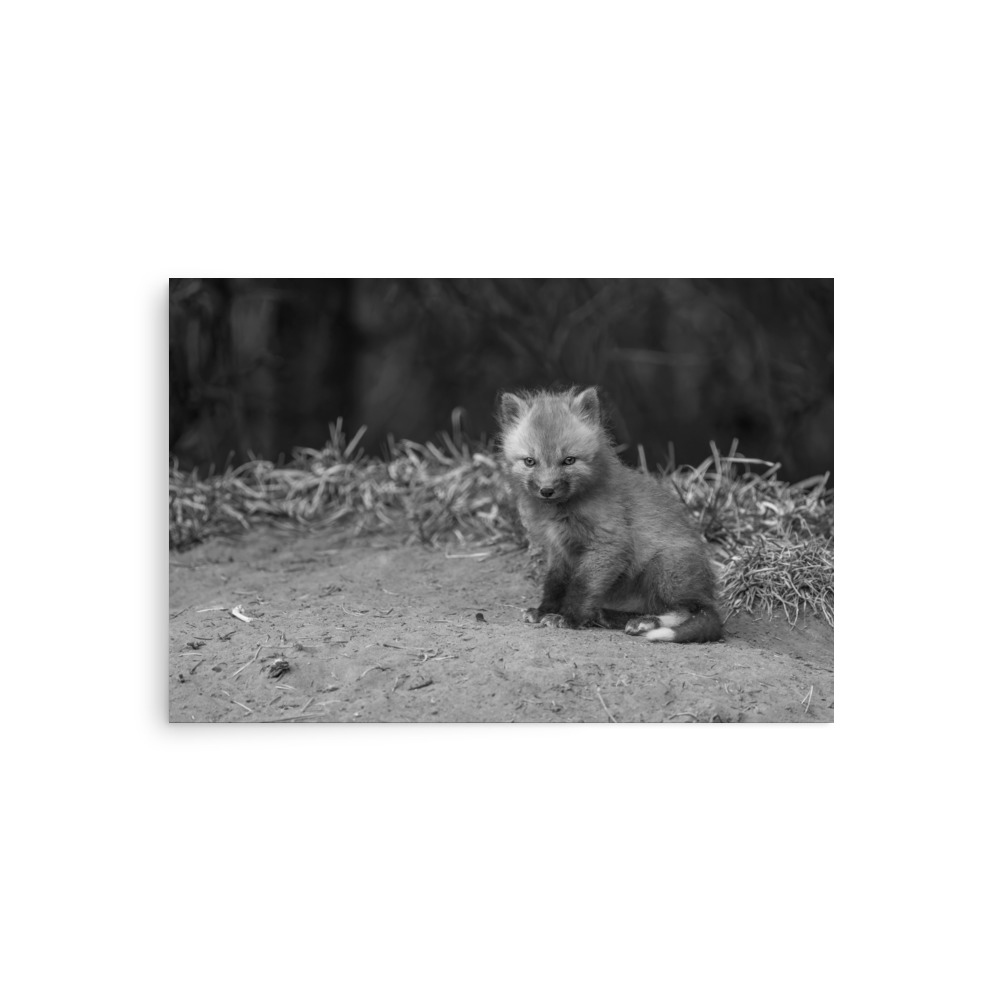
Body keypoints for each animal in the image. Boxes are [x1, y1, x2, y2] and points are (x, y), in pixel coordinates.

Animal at [497, 385, 723, 643]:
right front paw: (545, 610)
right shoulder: (559, 550)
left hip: (664, 569)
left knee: (689, 610)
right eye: (530, 461)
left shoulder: (608, 544)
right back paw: (609, 616)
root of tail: (707, 590)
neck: (563, 513)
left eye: (568, 460)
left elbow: (582, 586)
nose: (547, 490)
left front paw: (568, 618)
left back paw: (645, 623)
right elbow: (554, 583)